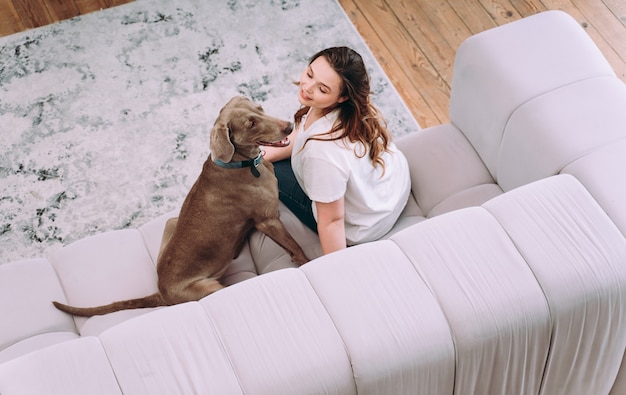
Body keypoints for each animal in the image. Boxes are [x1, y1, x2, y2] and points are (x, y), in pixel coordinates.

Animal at [53, 96, 310, 318]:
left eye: (260, 108)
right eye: (251, 124)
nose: (290, 126)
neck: (241, 164)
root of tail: (161, 292)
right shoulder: (269, 219)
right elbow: (296, 248)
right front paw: (308, 262)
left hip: (172, 221)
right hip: (210, 287)